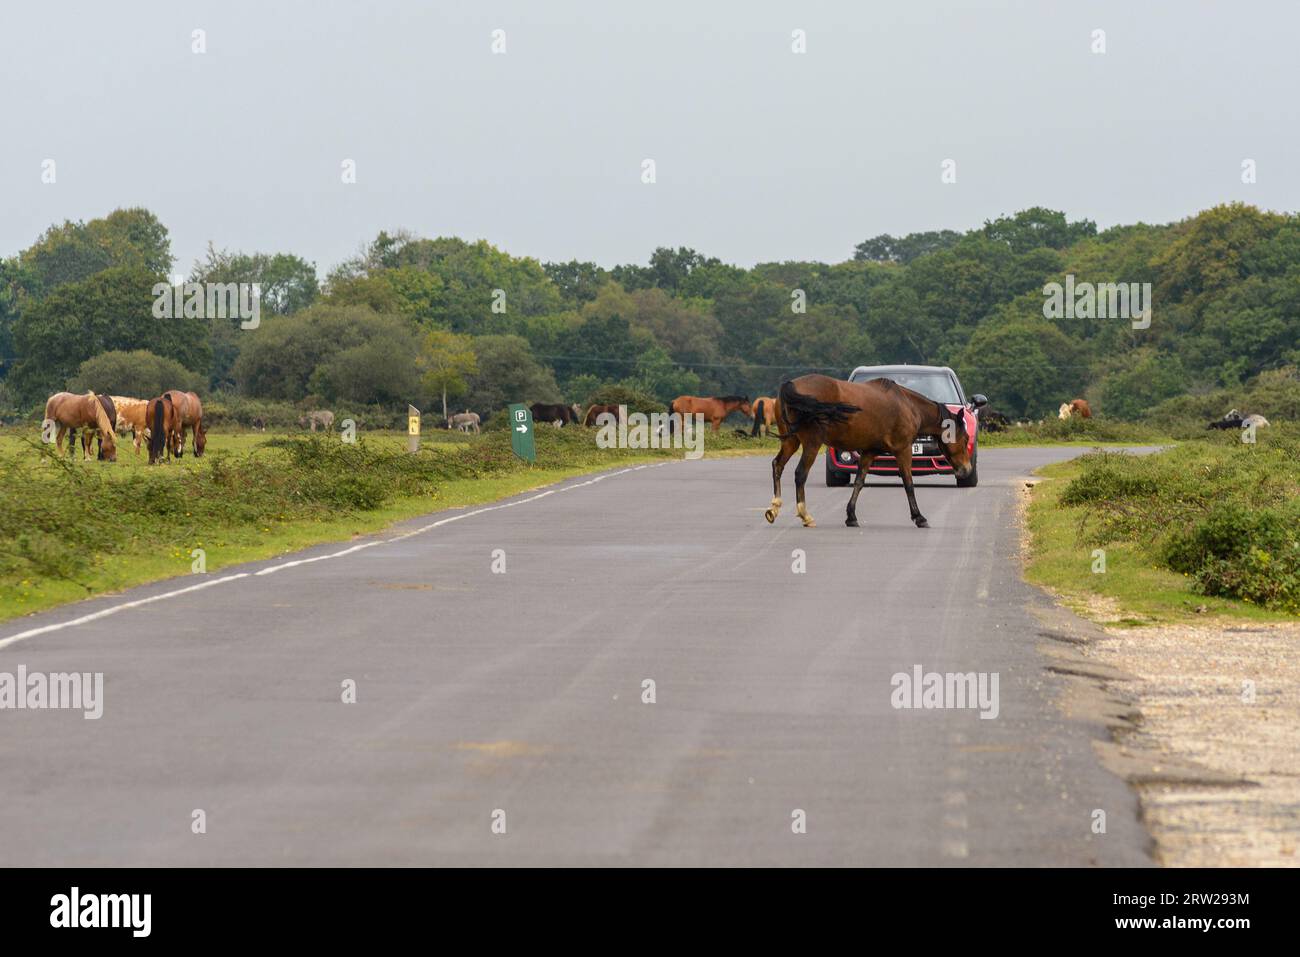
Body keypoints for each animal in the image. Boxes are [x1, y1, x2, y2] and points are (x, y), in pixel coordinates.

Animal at [764, 374, 972, 530]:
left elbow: (859, 482)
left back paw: (774, 508)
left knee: (777, 465)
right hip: (811, 444)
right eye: (965, 438)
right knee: (800, 474)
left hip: (791, 442)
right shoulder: (903, 450)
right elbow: (908, 484)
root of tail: (791, 385)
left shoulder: (869, 452)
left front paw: (851, 516)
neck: (907, 405)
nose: (966, 470)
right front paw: (919, 517)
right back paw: (805, 516)